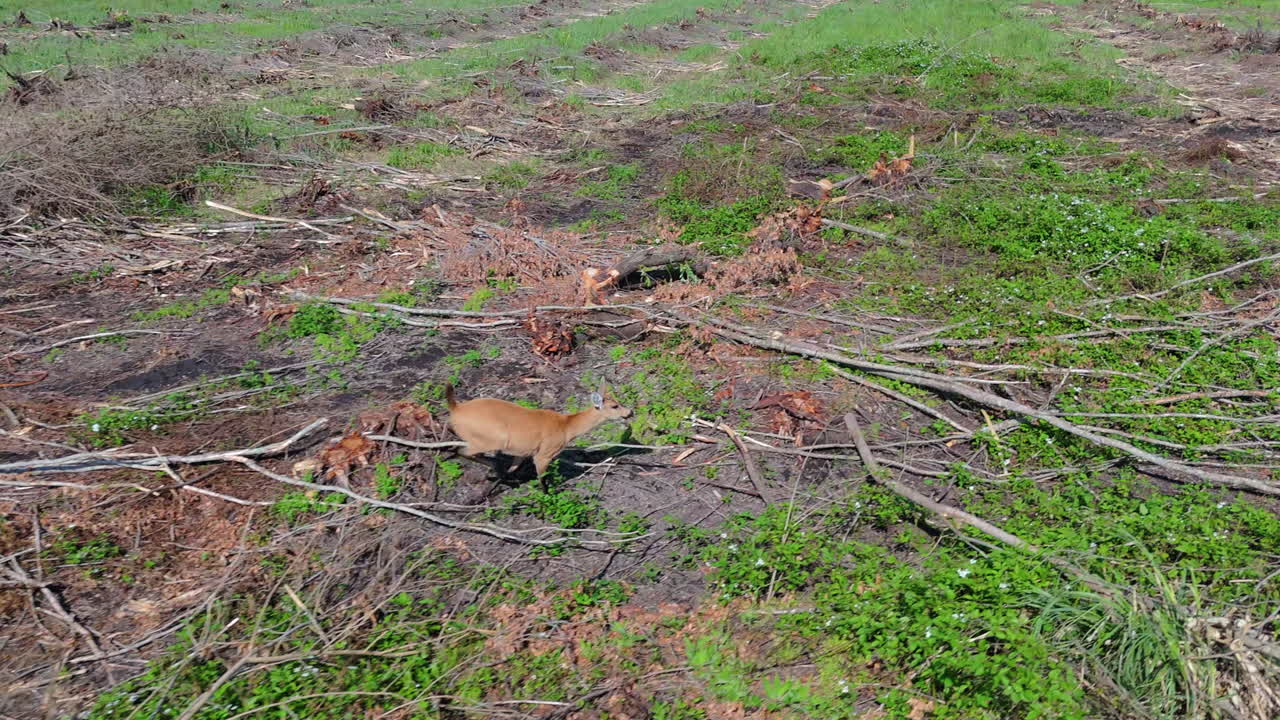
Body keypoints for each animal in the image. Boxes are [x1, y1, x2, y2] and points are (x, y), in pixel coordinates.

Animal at [443, 382, 632, 488]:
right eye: (615, 406)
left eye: (618, 401)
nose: (630, 412)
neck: (566, 426)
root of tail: (456, 408)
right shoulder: (543, 455)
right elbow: (542, 481)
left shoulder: (524, 452)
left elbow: (514, 469)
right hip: (494, 439)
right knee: (460, 451)